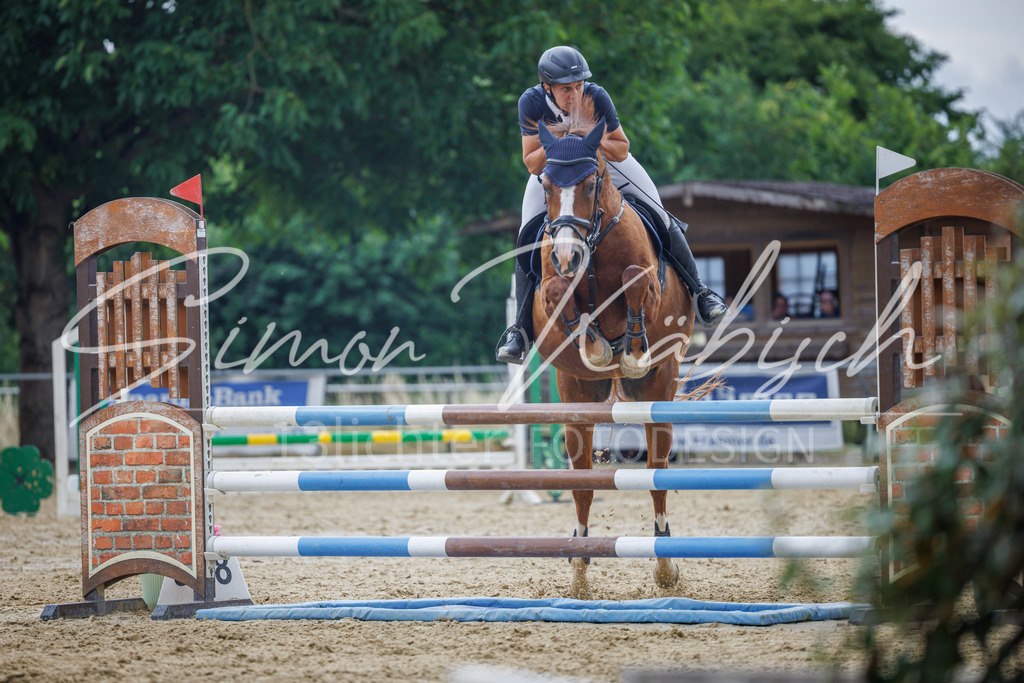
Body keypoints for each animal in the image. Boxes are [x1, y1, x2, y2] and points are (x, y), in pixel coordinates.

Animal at [530, 107, 701, 595]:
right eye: (546, 186)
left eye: (591, 183)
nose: (567, 256)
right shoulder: (553, 288)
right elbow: (557, 292)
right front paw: (594, 341)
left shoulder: (644, 281)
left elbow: (634, 278)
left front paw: (628, 347)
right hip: (576, 397)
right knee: (583, 485)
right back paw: (579, 565)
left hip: (658, 389)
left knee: (657, 474)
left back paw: (665, 566)